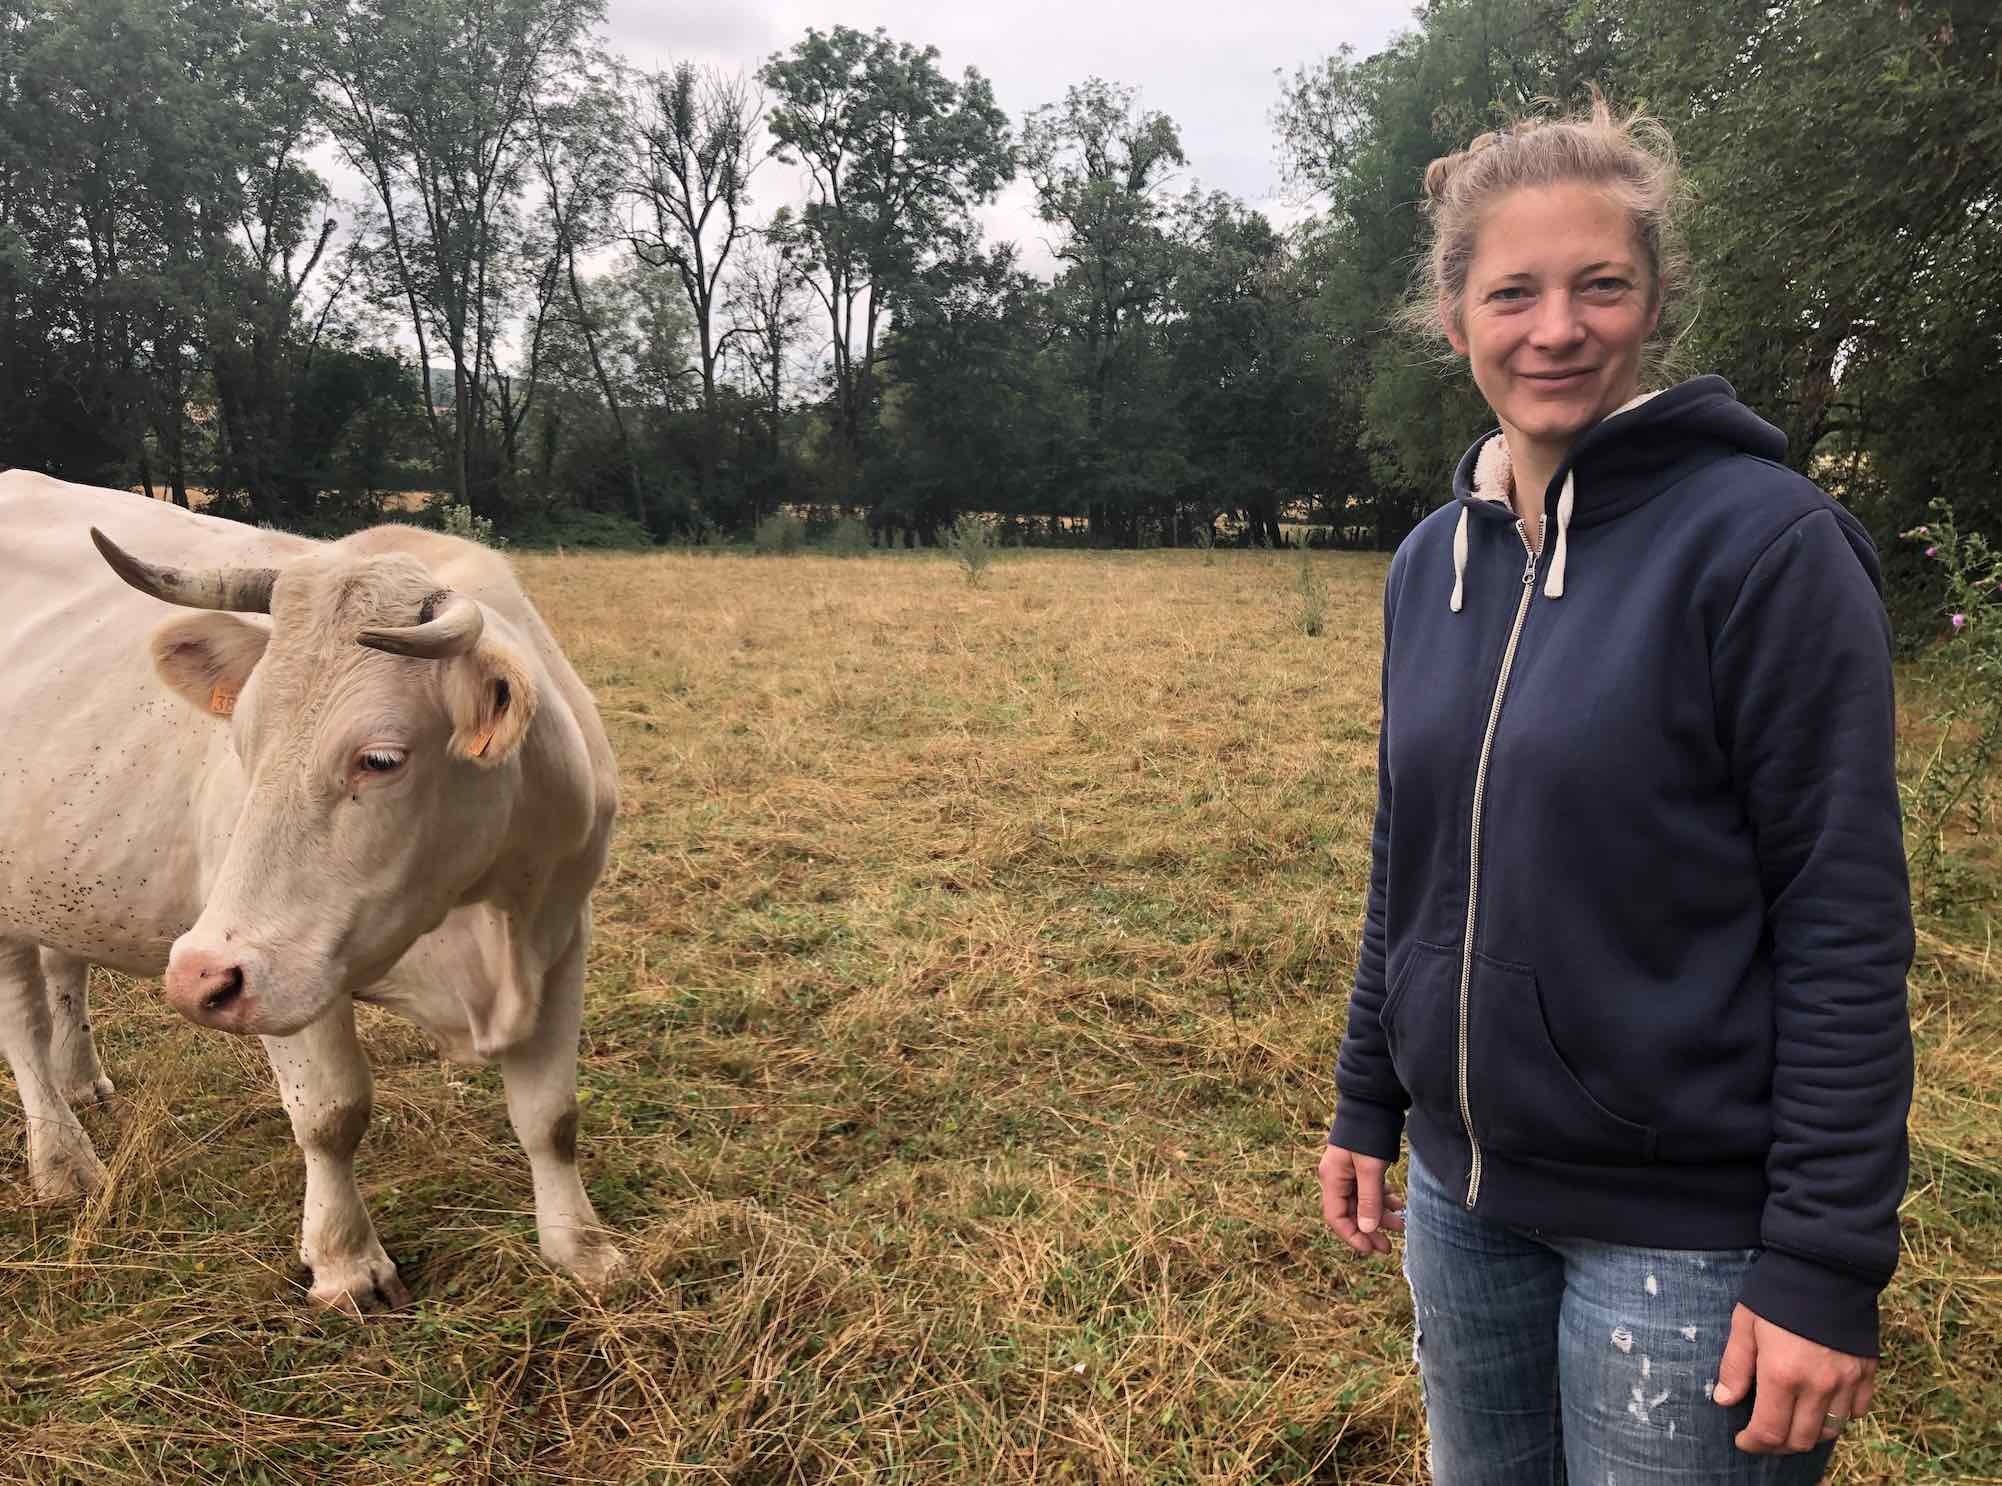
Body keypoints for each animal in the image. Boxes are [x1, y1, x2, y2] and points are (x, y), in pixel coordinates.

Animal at [0, 470, 620, 1305]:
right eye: (241, 739)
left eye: (380, 758)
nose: (193, 977)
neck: (479, 916)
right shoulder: (282, 971)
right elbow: (331, 1115)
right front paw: (346, 1263)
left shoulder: (560, 935)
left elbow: (551, 1114)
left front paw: (581, 1249)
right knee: (22, 1025)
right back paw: (64, 1161)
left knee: (65, 966)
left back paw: (84, 1082)